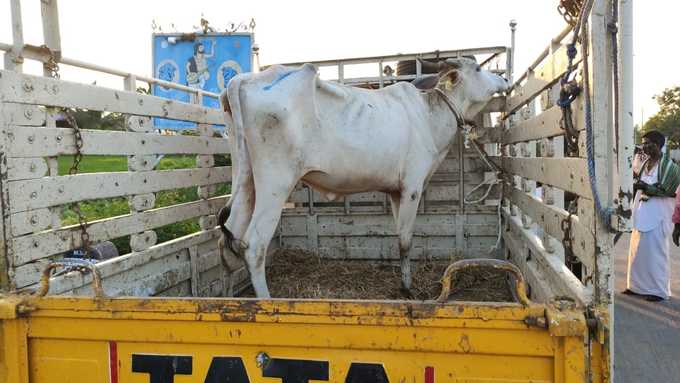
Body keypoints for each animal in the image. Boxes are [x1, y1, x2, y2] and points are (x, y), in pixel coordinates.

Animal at [216, 57, 504, 298]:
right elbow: (406, 241)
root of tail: (244, 80)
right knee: (254, 244)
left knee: (228, 239)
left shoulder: (396, 192)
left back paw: (226, 298)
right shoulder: (412, 187)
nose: (503, 79)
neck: (429, 115)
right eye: (478, 69)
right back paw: (265, 301)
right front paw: (408, 289)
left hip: (246, 180)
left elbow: (399, 236)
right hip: (275, 183)